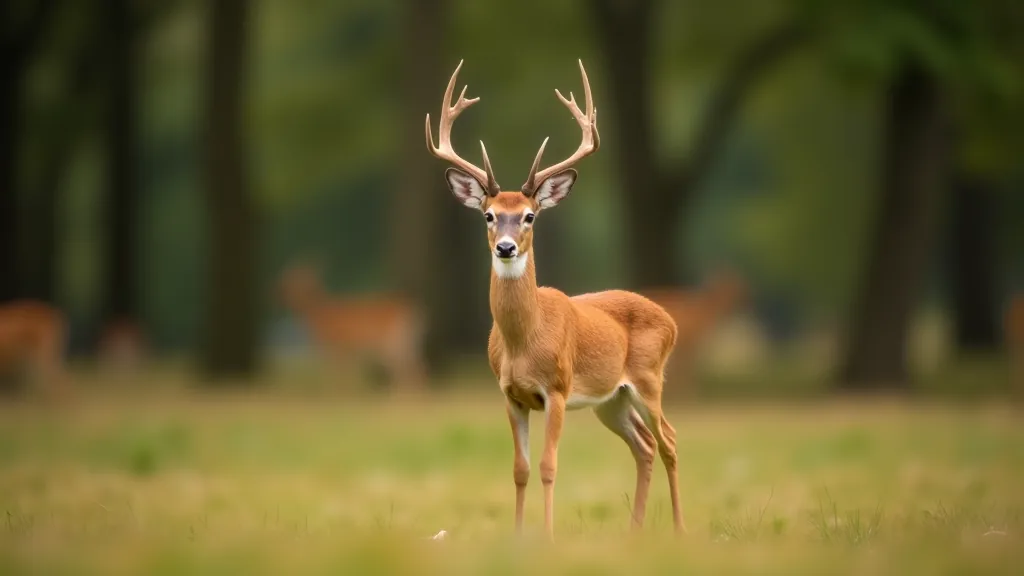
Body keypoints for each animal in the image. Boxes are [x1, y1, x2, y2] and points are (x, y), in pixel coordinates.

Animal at [426, 60, 685, 538]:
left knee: (669, 440)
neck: (524, 340)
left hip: (649, 379)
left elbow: (548, 466)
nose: (505, 247)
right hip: (612, 400)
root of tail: (671, 319)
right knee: (643, 445)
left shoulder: (558, 390)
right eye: (489, 215)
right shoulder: (510, 394)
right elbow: (520, 469)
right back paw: (634, 531)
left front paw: (546, 537)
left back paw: (679, 530)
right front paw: (517, 537)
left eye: (529, 216)